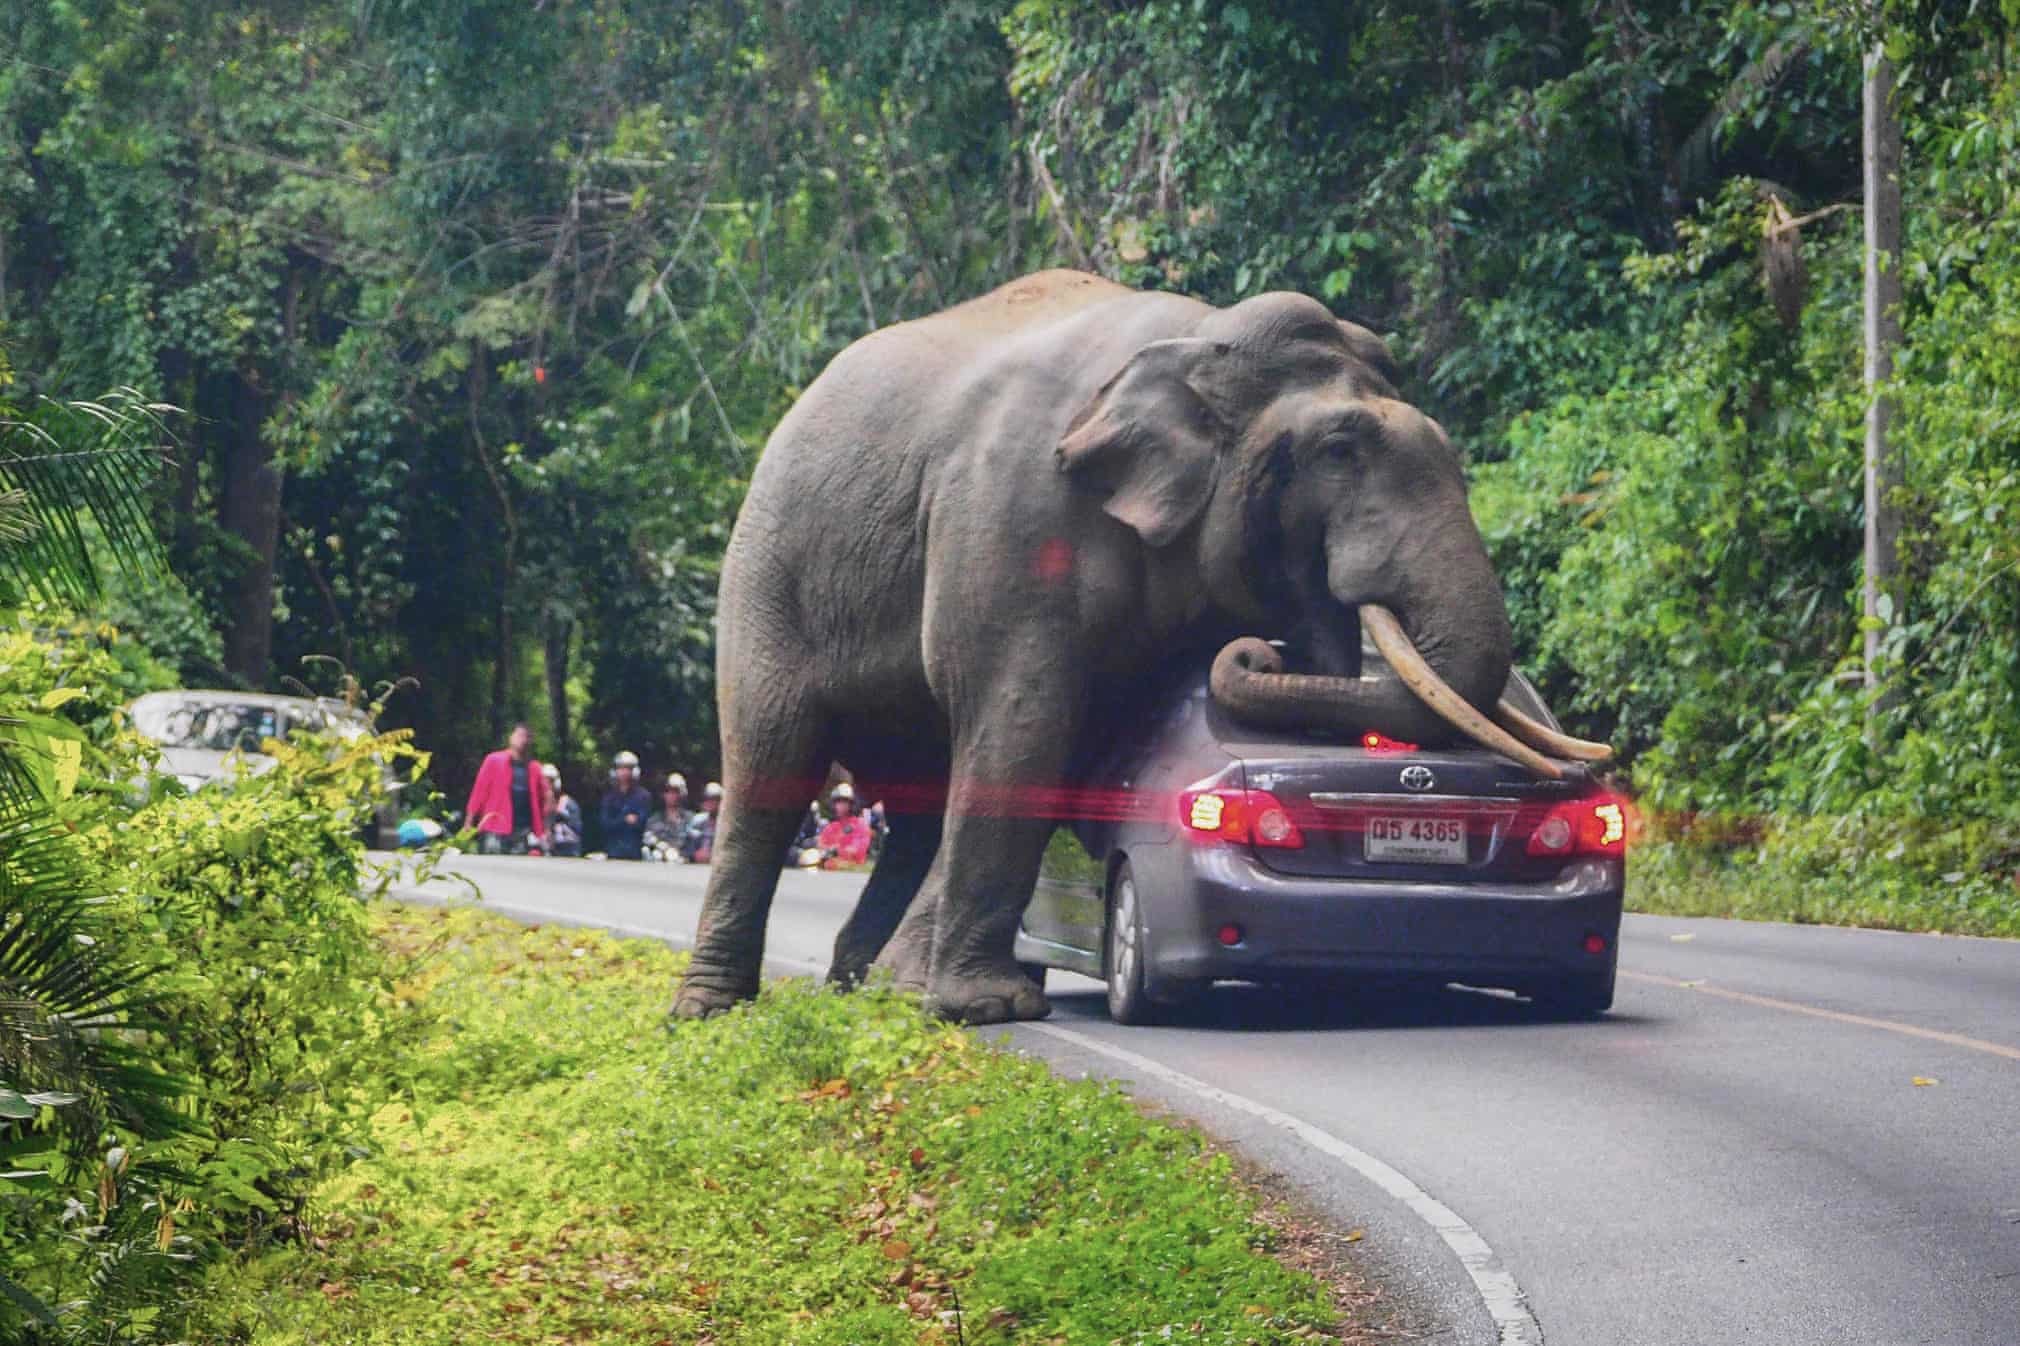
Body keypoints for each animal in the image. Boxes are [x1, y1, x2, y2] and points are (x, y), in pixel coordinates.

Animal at [670, 266, 1599, 1022]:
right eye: (1339, 449)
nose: (1259, 649)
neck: (1201, 339)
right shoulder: (1010, 515)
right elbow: (1027, 723)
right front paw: (985, 1010)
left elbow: (1067, 743)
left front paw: (935, 998)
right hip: (766, 572)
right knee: (772, 761)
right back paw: (714, 1013)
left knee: (916, 802)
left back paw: (862, 990)